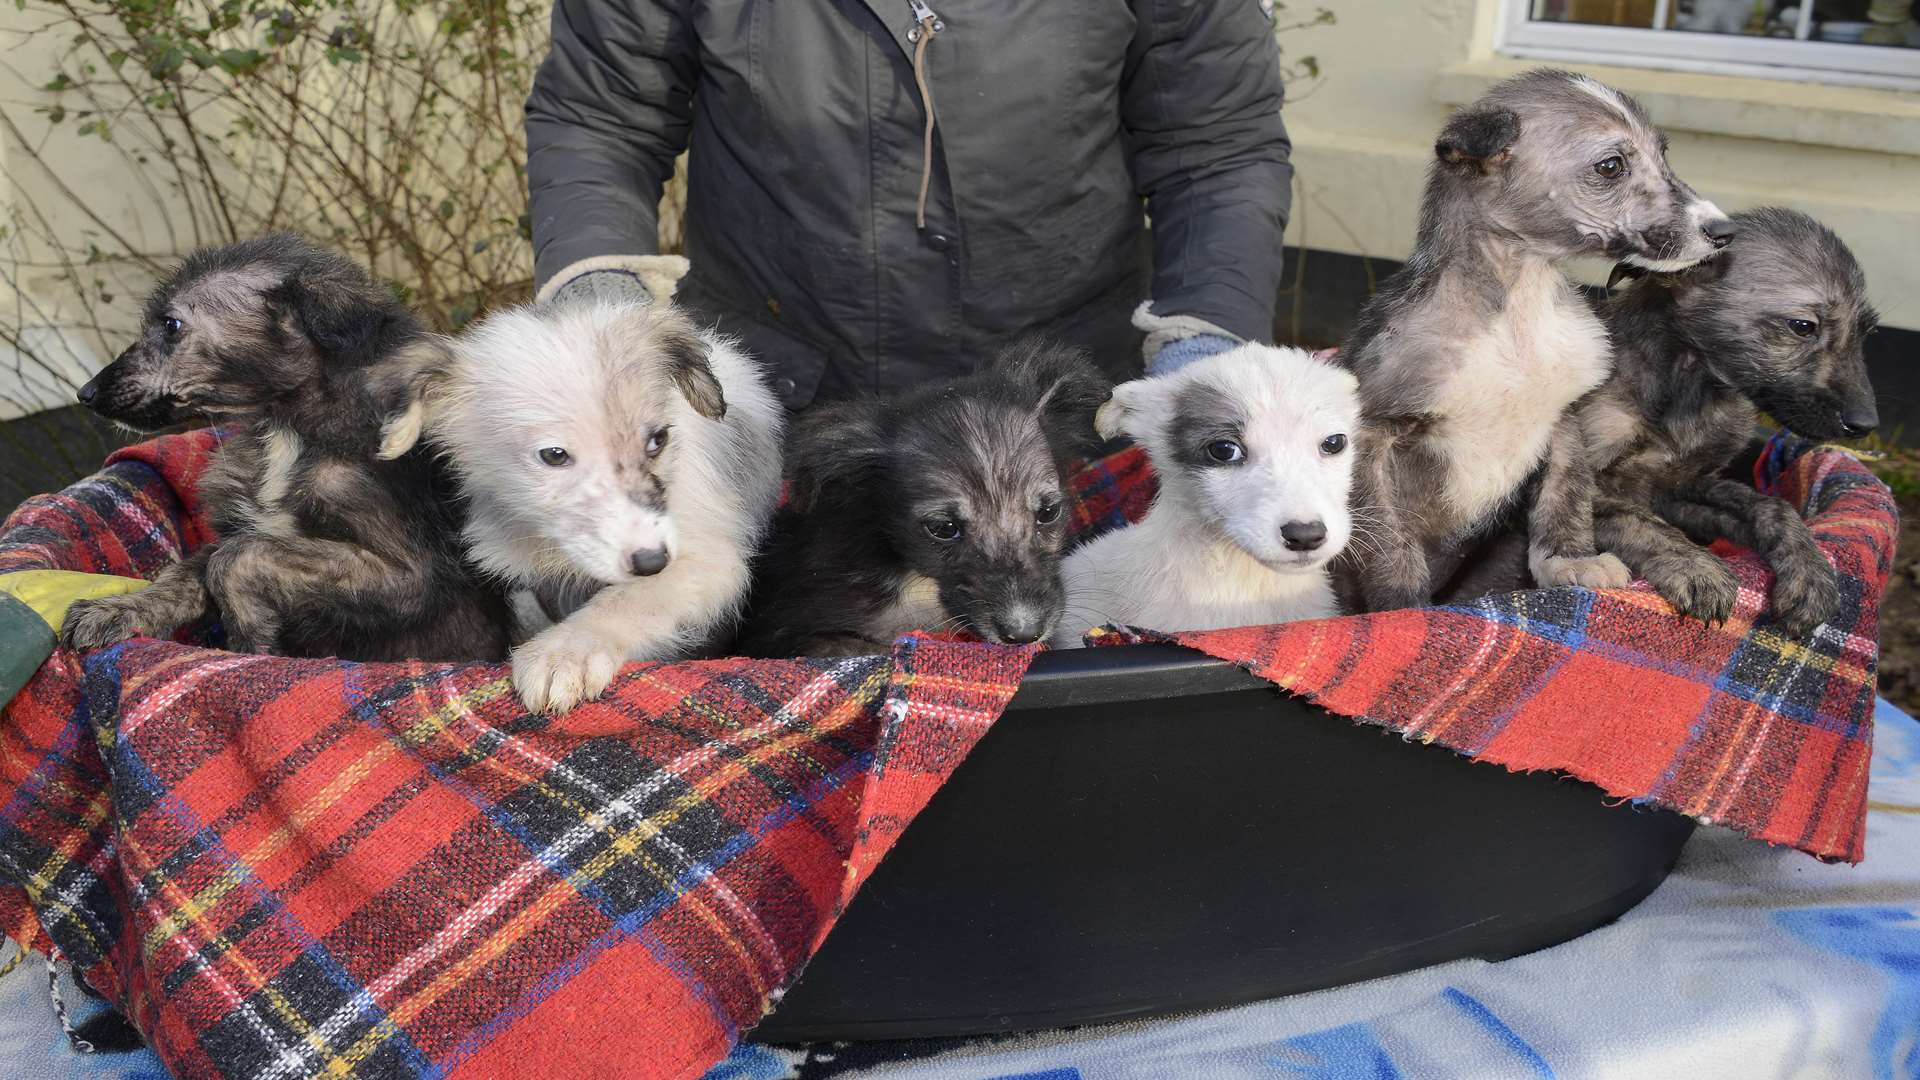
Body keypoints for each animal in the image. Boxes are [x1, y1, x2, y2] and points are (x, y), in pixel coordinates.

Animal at [378, 297, 783, 711]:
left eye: (658, 440)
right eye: (554, 455)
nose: (652, 561)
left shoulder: (710, 559)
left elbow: (629, 599)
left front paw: (566, 651)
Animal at [1336, 67, 1743, 611]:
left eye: (1664, 154)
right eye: (1611, 166)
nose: (1724, 231)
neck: (1516, 310)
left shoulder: (1564, 419)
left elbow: (1564, 497)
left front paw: (1570, 560)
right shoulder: (1373, 434)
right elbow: (1388, 542)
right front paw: (1403, 607)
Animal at [1582, 205, 1881, 634]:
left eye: (1867, 330)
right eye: (1803, 326)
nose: (1867, 425)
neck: (1690, 391)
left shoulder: (1684, 486)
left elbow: (1770, 506)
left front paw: (1810, 571)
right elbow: (1637, 520)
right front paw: (1697, 568)